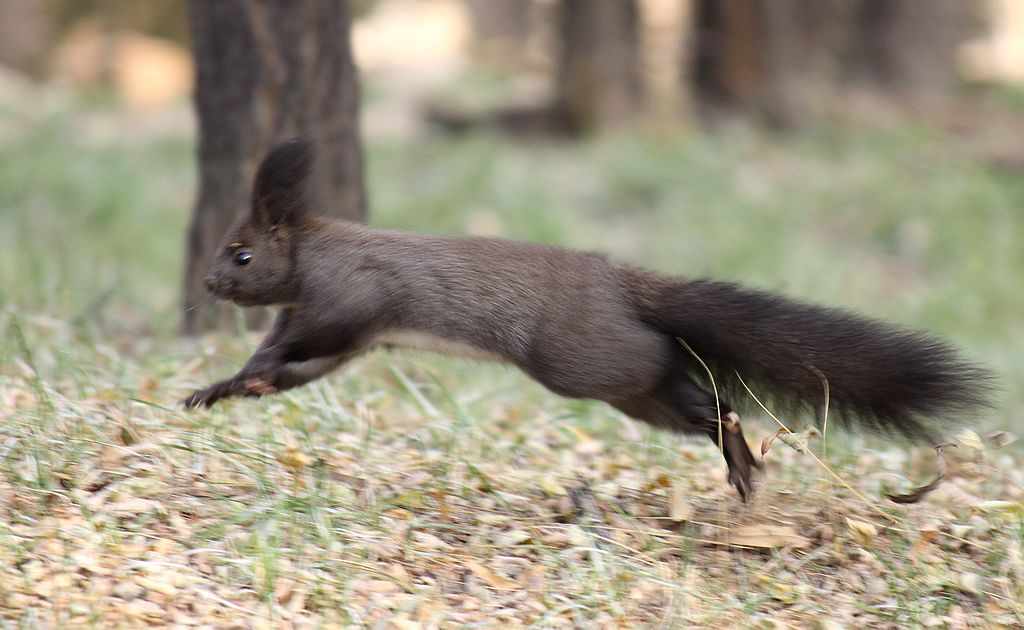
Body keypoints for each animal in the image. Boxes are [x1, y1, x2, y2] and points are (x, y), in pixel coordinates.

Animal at [184, 139, 991, 501]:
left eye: (242, 253)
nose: (209, 283)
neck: (315, 254)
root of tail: (624, 285)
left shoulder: (353, 300)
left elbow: (306, 343)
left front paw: (242, 375)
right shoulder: (343, 334)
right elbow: (301, 365)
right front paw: (227, 389)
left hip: (588, 363)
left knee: (706, 397)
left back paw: (739, 459)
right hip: (632, 385)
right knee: (702, 398)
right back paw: (742, 464)